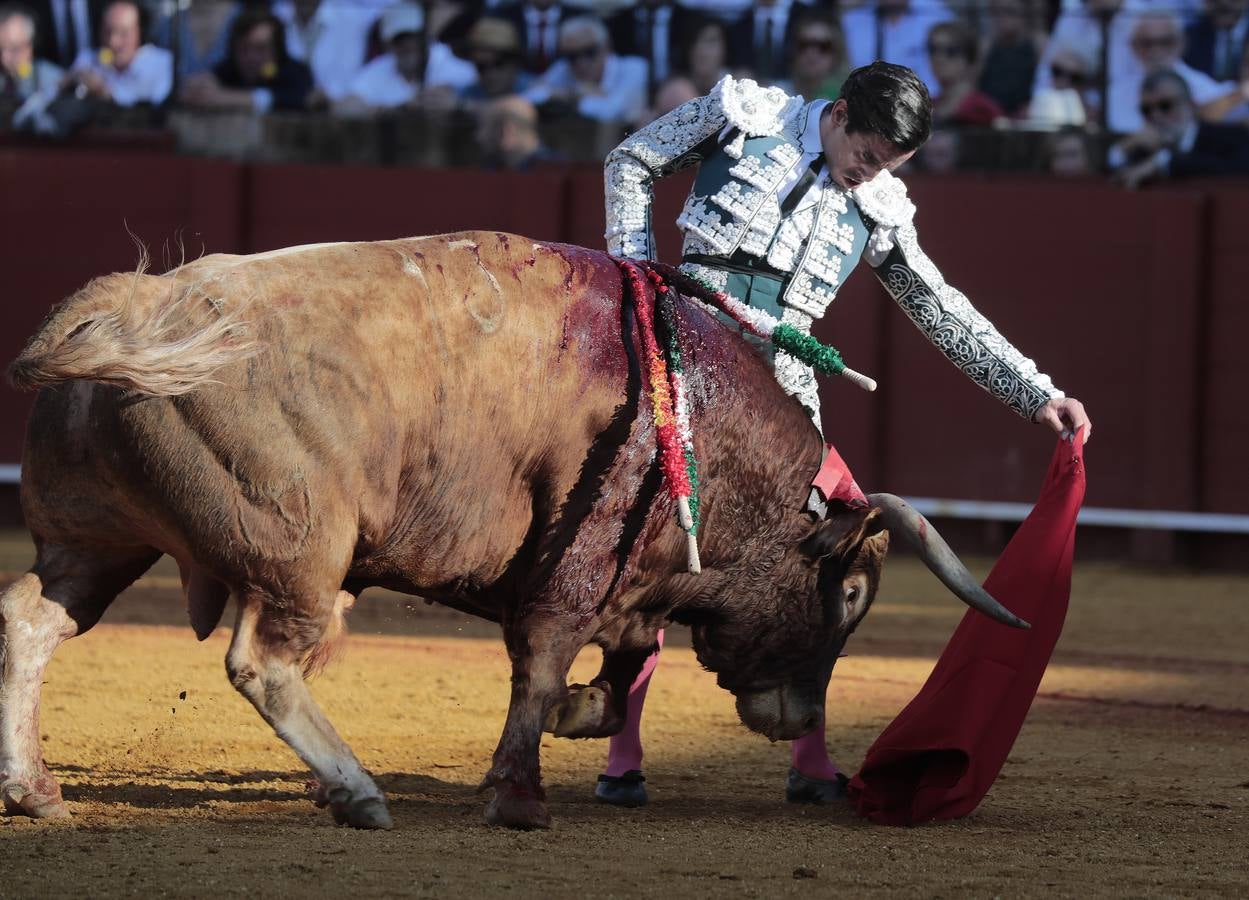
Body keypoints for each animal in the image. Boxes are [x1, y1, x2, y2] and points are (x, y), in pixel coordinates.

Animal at [2, 232, 1024, 828]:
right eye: (848, 593)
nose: (800, 720)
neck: (697, 419)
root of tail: (136, 308)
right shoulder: (577, 571)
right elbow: (541, 665)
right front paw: (519, 794)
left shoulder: (632, 592)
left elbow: (614, 677)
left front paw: (573, 724)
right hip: (300, 555)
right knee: (262, 662)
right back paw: (357, 791)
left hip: (97, 542)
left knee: (32, 619)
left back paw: (35, 789)